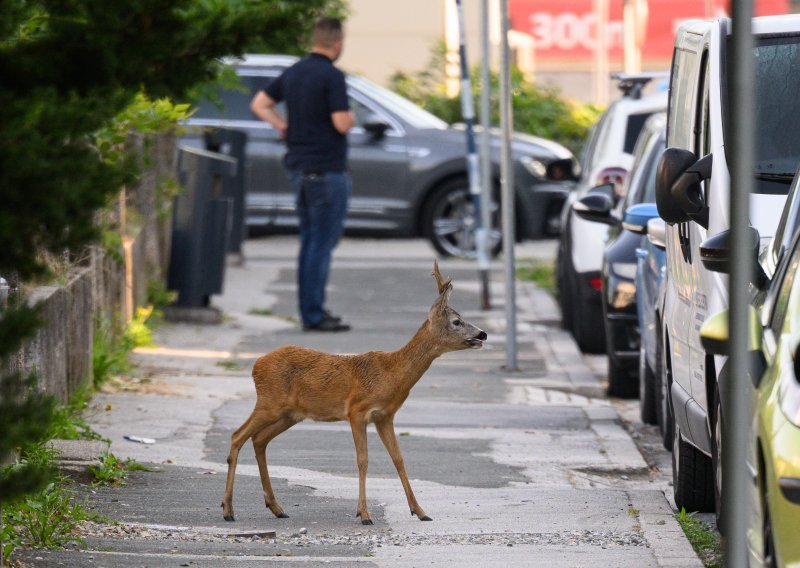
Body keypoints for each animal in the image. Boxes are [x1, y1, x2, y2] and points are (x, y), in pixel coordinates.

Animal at [219, 260, 484, 524]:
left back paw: (276, 507)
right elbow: (362, 460)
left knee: (259, 439)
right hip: (269, 402)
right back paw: (228, 509)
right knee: (238, 435)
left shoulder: (385, 416)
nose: (482, 334)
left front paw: (419, 511)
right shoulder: (357, 411)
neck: (391, 373)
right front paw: (364, 514)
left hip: (290, 414)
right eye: (457, 321)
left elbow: (399, 459)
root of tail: (257, 364)